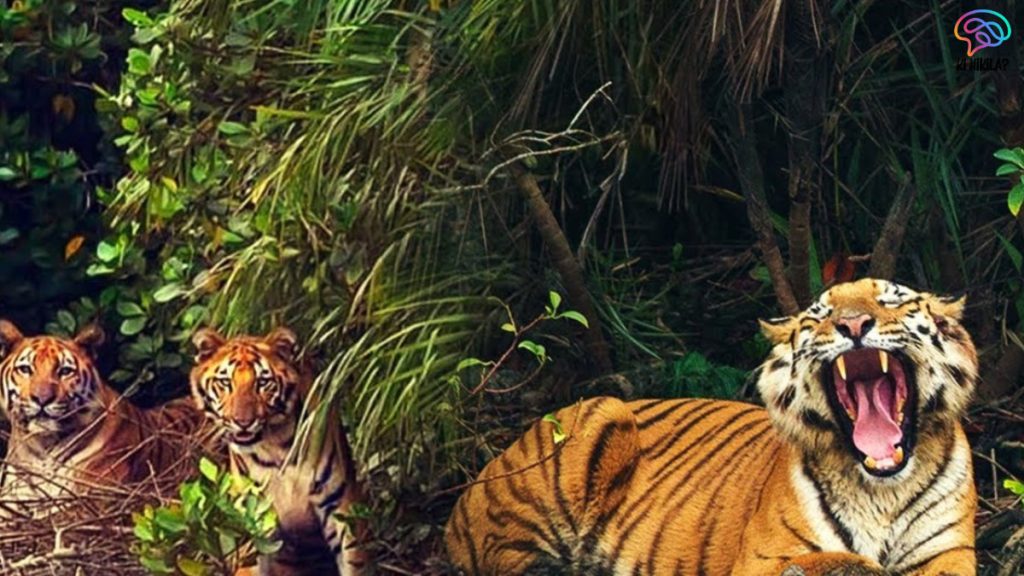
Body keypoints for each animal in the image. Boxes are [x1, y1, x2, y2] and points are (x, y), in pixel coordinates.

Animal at [190, 326, 370, 576]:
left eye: (263, 382)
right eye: (225, 382)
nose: (243, 422)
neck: (276, 448)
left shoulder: (341, 508)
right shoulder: (252, 520)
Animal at [445, 278, 978, 575]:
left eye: (891, 302)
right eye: (821, 317)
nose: (853, 325)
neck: (880, 487)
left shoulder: (948, 554)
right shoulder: (760, 559)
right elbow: (829, 562)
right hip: (600, 413)